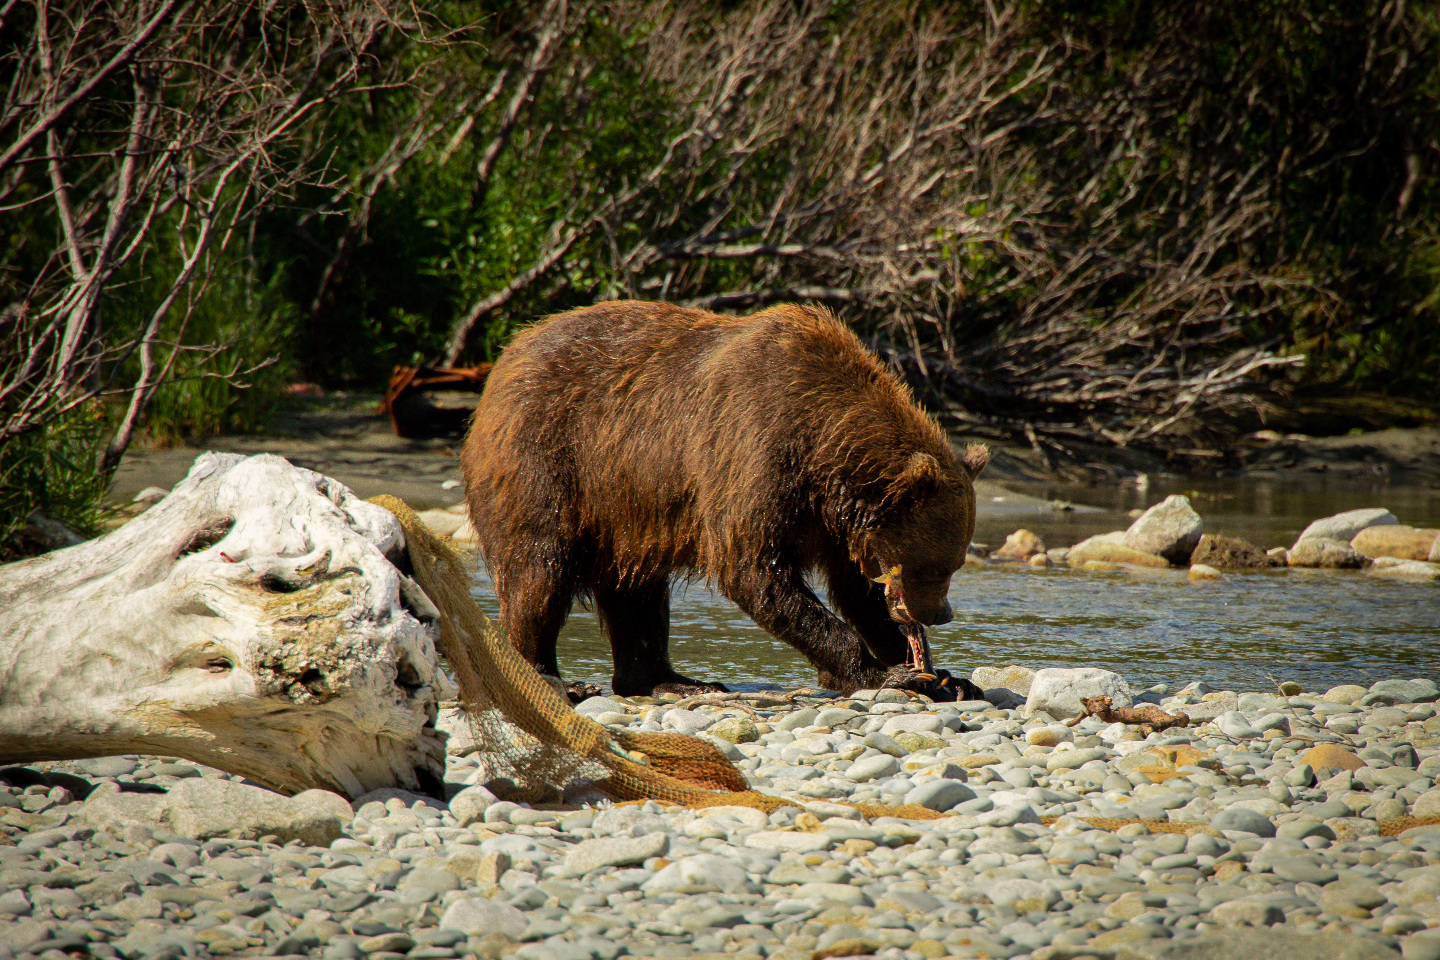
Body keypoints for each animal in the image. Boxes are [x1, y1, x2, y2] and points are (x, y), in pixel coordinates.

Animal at [460, 297, 990, 699]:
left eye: (954, 564)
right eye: (937, 567)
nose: (939, 614)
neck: (823, 443)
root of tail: (504, 360)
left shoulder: (836, 521)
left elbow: (858, 592)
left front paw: (945, 677)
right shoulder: (755, 450)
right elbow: (754, 570)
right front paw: (888, 673)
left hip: (627, 507)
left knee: (637, 593)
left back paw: (673, 680)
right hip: (547, 461)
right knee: (540, 568)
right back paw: (551, 676)